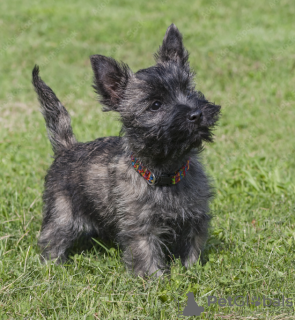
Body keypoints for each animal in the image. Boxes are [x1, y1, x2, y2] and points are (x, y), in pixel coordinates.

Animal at [33, 23, 222, 276]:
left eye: (189, 90)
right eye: (155, 105)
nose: (196, 113)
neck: (166, 173)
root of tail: (68, 148)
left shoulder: (195, 218)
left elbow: (193, 247)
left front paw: (193, 271)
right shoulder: (141, 228)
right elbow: (147, 255)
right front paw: (155, 279)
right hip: (62, 213)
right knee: (51, 238)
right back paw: (52, 267)